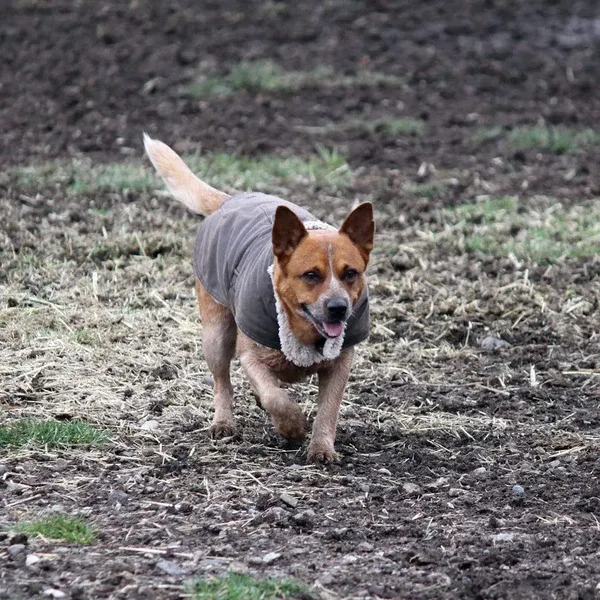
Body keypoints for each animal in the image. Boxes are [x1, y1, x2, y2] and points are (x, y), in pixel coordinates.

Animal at [143, 135, 372, 464]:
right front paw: (292, 425)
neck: (303, 333)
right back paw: (224, 422)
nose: (339, 308)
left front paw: (321, 449)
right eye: (311, 275)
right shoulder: (250, 355)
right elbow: (275, 397)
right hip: (216, 335)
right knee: (222, 383)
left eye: (350, 273)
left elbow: (328, 408)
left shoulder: (340, 362)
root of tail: (227, 200)